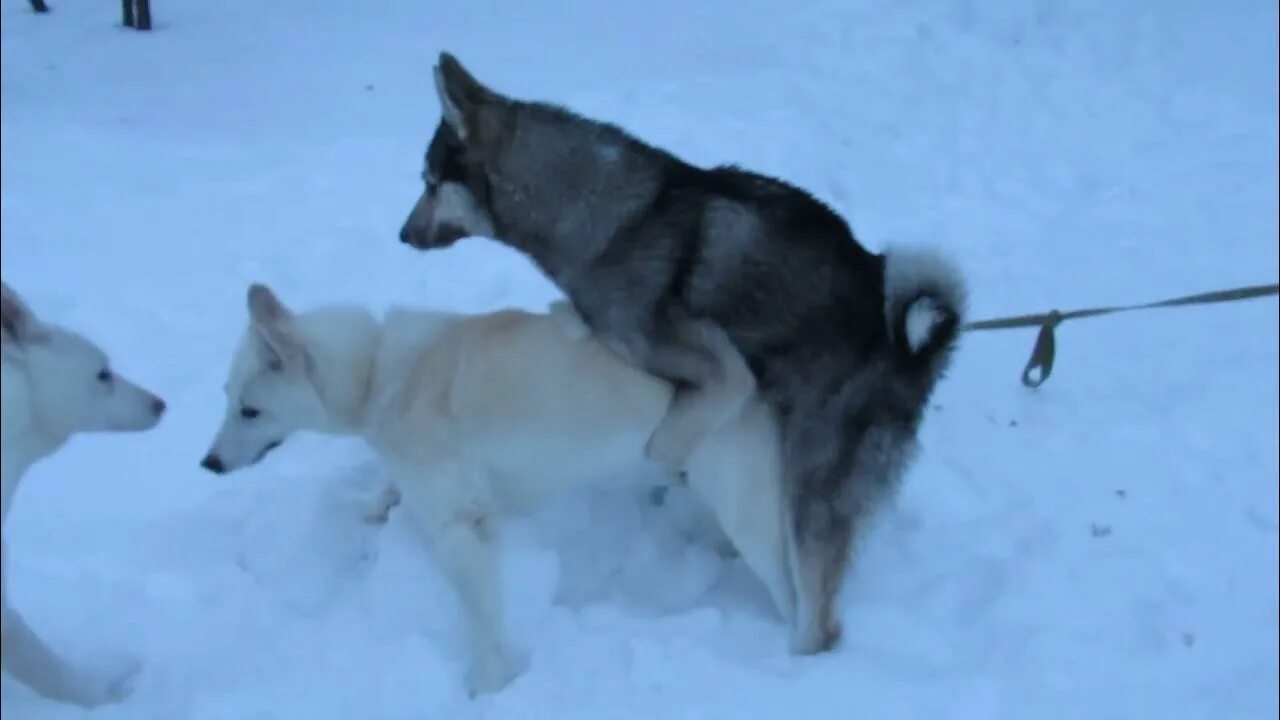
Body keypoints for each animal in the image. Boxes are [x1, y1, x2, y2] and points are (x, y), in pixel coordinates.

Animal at [197, 284, 798, 696]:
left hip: (749, 521)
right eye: (225, 397)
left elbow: (481, 616)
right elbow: (389, 488)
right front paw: (374, 504)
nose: (209, 463)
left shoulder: (460, 527)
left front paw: (489, 684)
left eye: (250, 411)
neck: (378, 376)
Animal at [399, 53, 962, 653]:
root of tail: (913, 353)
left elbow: (662, 445)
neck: (608, 219)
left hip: (811, 484)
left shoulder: (723, 369)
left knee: (819, 619)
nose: (403, 234)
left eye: (429, 183)